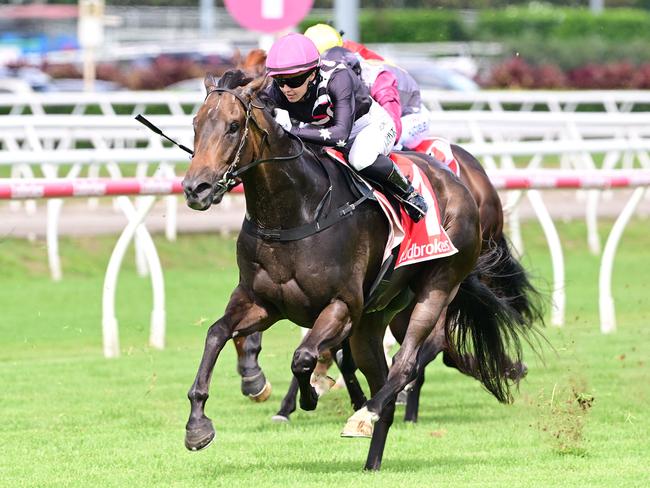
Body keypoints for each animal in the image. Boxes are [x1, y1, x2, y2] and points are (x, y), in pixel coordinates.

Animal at [181, 68, 532, 468]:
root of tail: (461, 181)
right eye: (196, 124)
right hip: (375, 319)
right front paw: (199, 425)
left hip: (437, 287)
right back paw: (372, 457)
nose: (196, 188)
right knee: (390, 370)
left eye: (233, 126)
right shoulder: (262, 302)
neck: (295, 212)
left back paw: (367, 411)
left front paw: (310, 395)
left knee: (409, 359)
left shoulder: (342, 306)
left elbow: (303, 356)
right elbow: (217, 333)